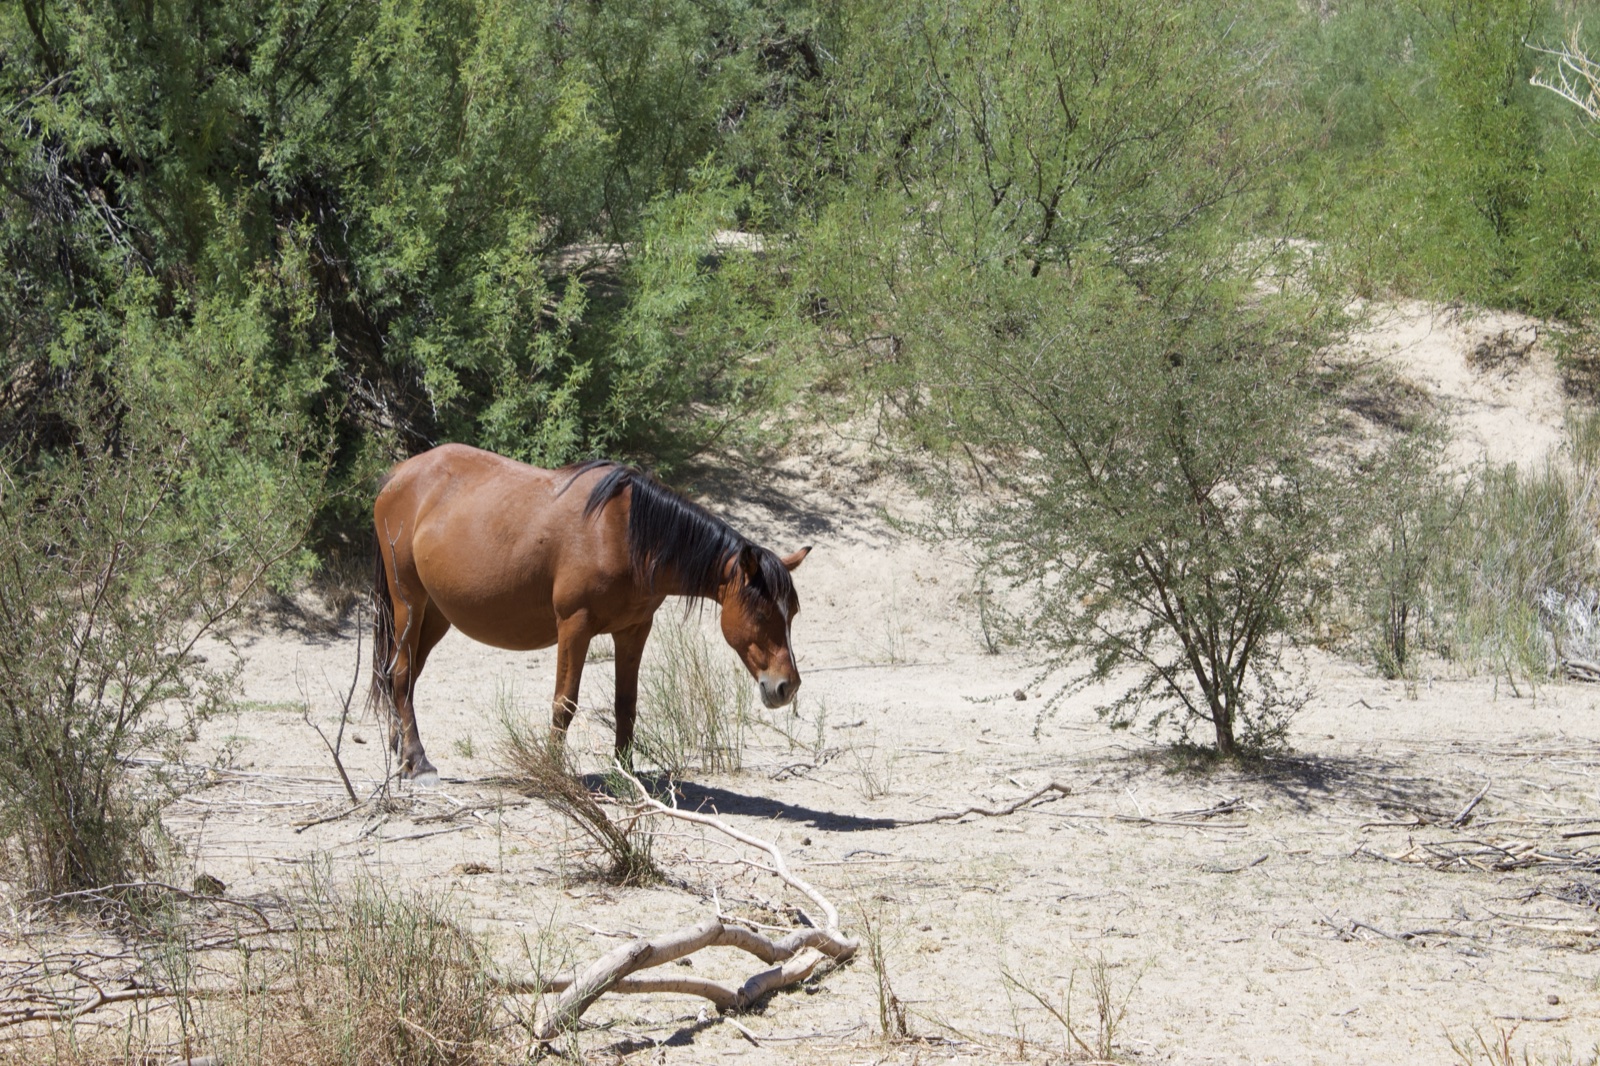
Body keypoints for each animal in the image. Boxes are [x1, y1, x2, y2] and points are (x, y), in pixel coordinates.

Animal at [370, 443, 809, 781]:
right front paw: (553, 771)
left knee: (402, 676)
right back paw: (419, 762)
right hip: (409, 603)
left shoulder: (634, 630)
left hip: (436, 614)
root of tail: (398, 475)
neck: (623, 535)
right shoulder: (574, 627)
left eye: (791, 615)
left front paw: (626, 773)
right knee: (401, 672)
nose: (785, 687)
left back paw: (400, 751)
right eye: (761, 613)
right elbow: (564, 703)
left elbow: (626, 703)